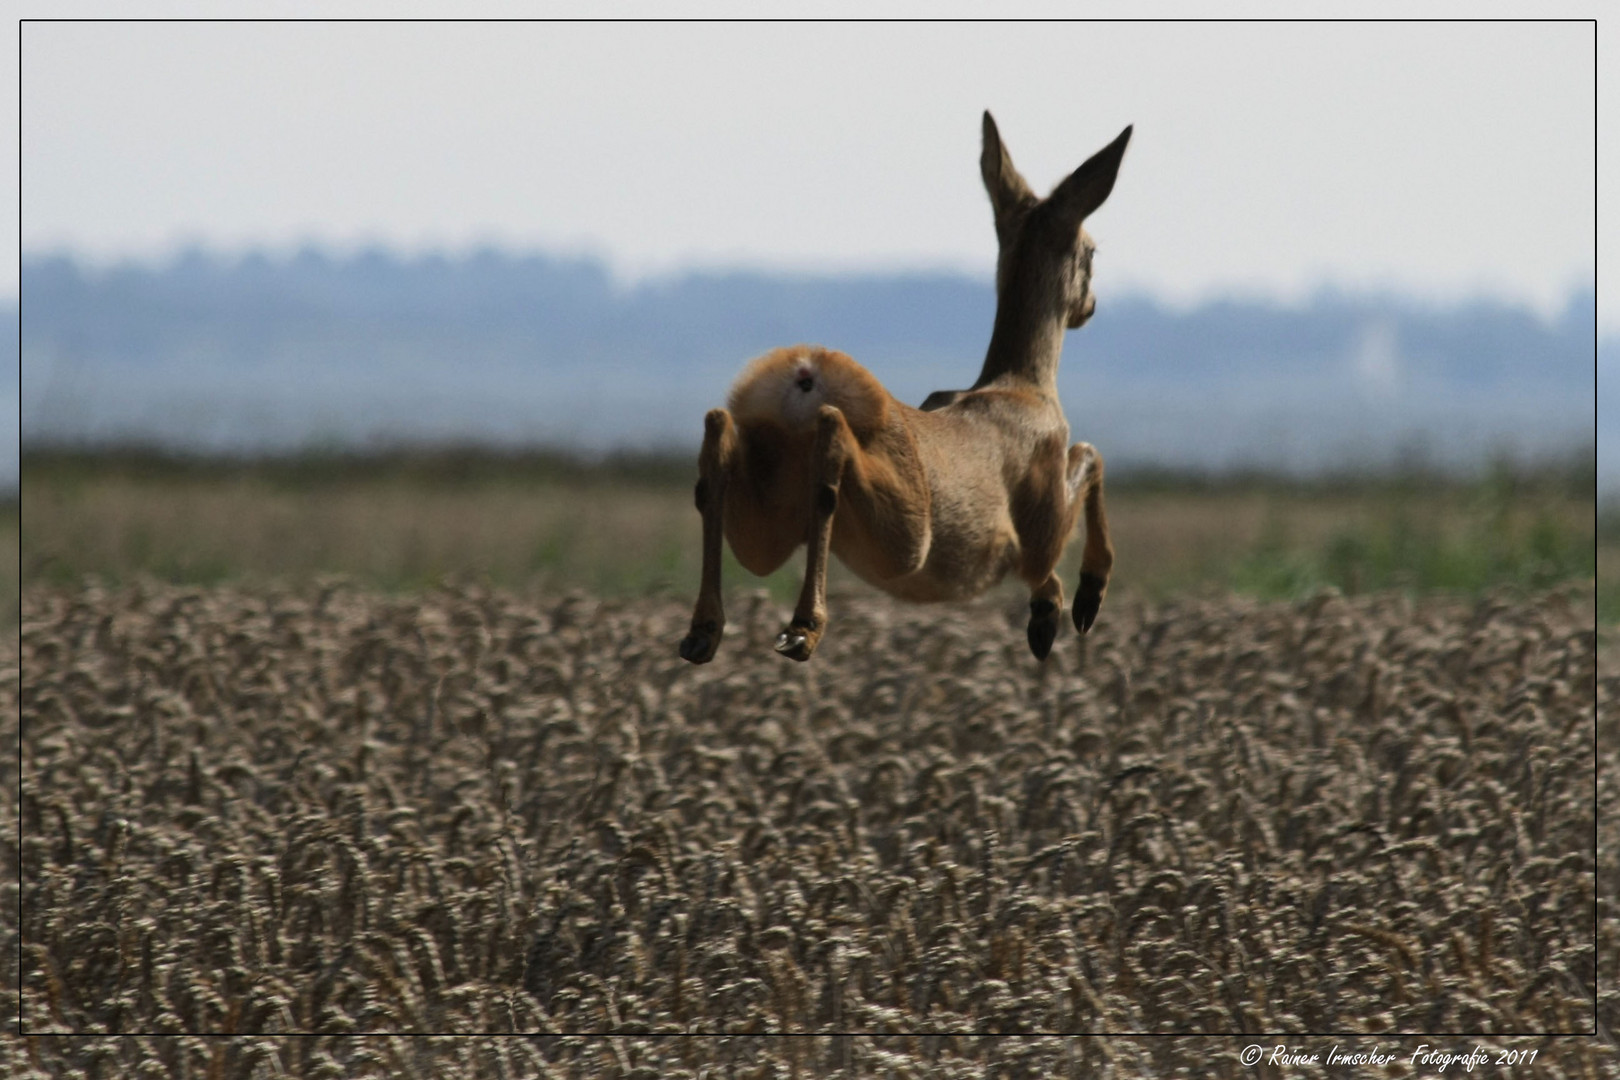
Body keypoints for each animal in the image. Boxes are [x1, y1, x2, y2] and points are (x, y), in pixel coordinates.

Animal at [673, 114, 1127, 663]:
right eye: (1092, 250)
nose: (1091, 306)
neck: (1026, 386)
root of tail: (801, 380)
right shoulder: (1042, 531)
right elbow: (1091, 455)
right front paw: (1076, 604)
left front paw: (1051, 617)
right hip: (904, 537)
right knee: (831, 449)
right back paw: (801, 629)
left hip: (766, 525)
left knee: (718, 453)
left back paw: (704, 633)